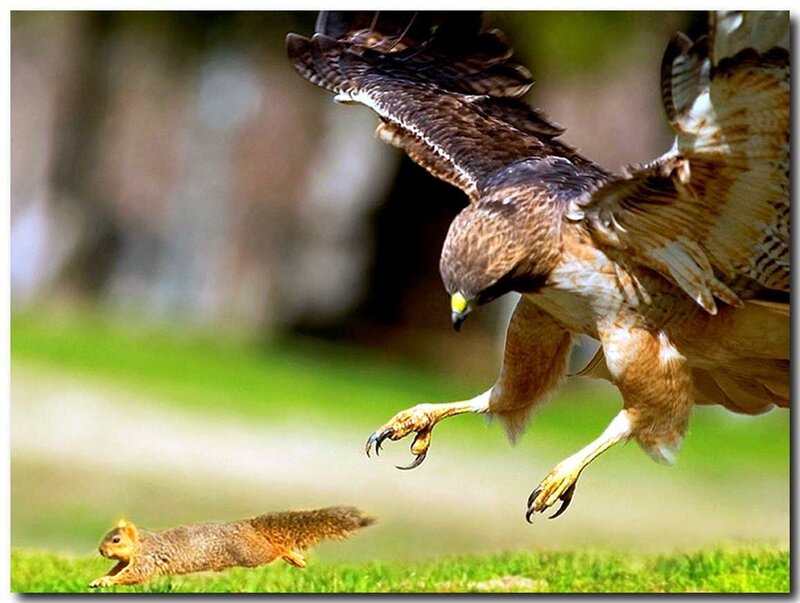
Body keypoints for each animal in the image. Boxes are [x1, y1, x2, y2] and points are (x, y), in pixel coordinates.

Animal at [89, 506, 375, 588]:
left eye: (116, 540)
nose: (101, 551)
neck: (142, 544)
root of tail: (249, 526)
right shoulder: (126, 561)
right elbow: (118, 571)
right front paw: (99, 580)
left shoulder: (149, 559)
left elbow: (136, 575)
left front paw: (106, 582)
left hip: (253, 554)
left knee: (276, 548)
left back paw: (293, 556)